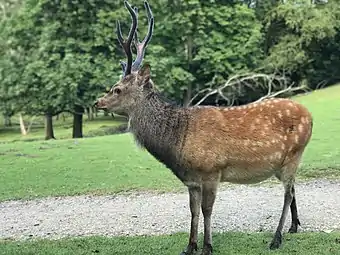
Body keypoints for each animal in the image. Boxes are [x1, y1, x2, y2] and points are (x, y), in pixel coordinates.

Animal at [94, 0, 312, 254]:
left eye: (117, 89)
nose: (97, 102)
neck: (178, 143)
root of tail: (310, 115)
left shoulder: (211, 170)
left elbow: (207, 210)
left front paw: (208, 246)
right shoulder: (192, 180)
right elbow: (193, 210)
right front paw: (190, 246)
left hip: (294, 154)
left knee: (287, 193)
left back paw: (276, 238)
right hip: (283, 162)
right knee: (293, 188)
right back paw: (294, 226)